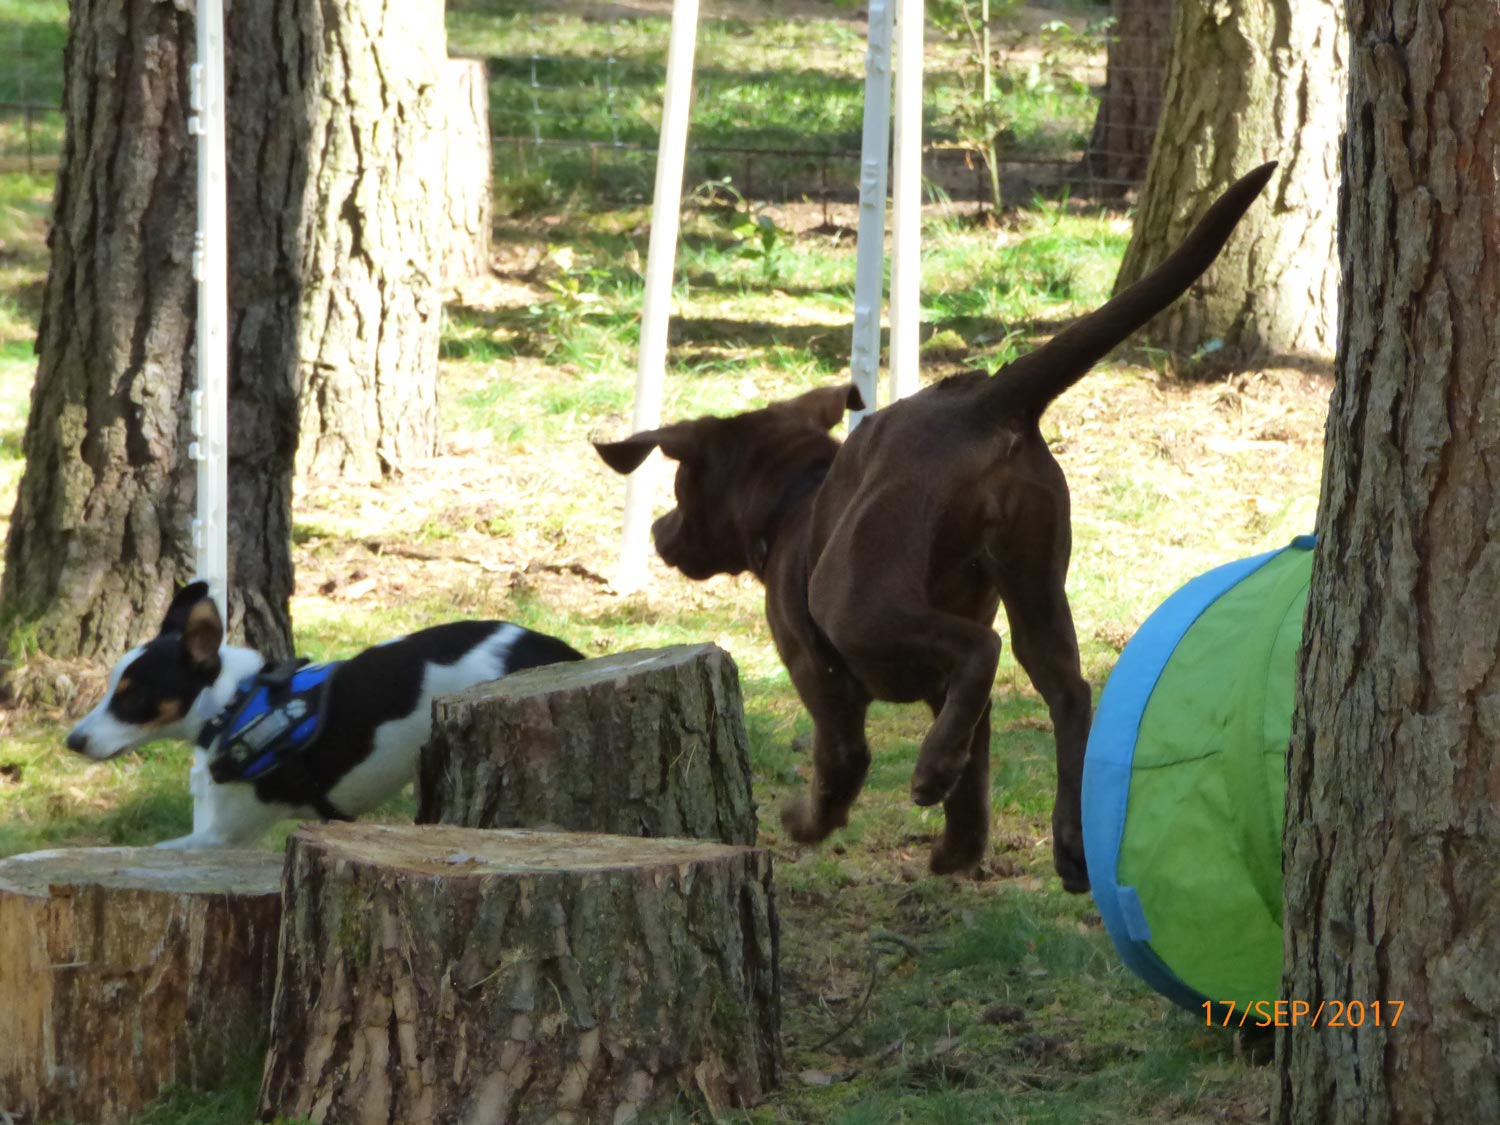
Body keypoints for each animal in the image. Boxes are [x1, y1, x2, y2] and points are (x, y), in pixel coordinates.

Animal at [597, 165, 1278, 888]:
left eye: (677, 487)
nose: (659, 532)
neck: (792, 501)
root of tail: (988, 401)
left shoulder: (818, 671)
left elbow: (843, 766)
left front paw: (804, 823)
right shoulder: (942, 692)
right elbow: (975, 774)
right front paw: (959, 850)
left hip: (857, 601)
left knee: (984, 646)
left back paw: (931, 771)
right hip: (1036, 578)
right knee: (1065, 688)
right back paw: (1068, 841)